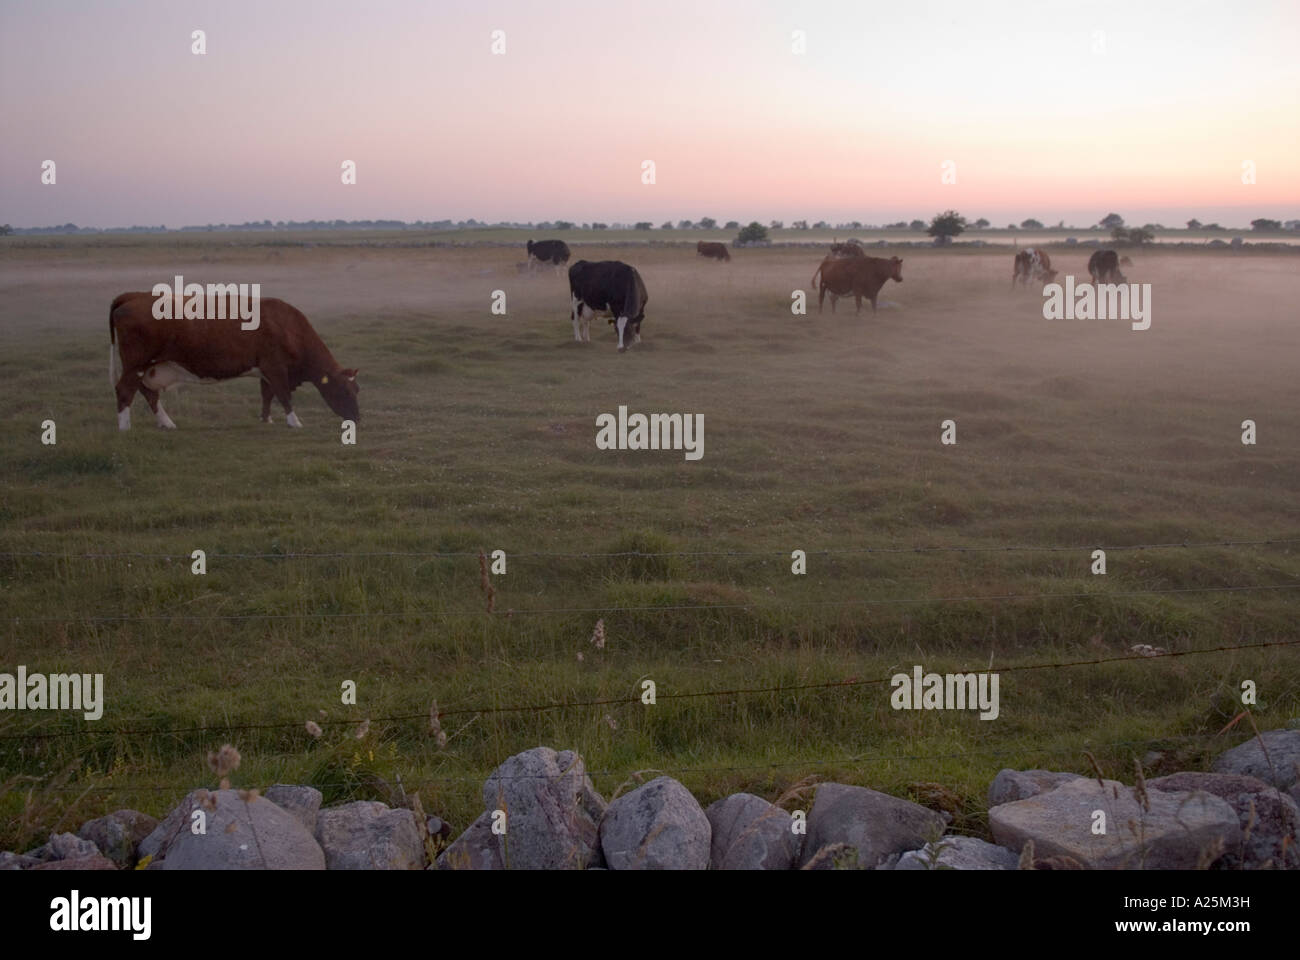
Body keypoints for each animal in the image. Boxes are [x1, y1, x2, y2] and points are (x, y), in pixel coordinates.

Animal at [109, 290, 359, 431]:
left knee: (148, 393)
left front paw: (266, 419)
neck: (287, 325)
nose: (356, 417)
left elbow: (267, 395)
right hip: (136, 365)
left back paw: (167, 423)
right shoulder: (276, 367)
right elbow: (283, 395)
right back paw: (125, 427)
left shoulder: (266, 370)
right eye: (345, 390)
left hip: (148, 367)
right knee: (124, 390)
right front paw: (294, 422)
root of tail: (134, 296)